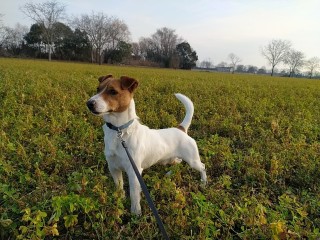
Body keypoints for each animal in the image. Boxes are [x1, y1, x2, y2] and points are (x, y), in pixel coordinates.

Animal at [87, 74, 208, 214]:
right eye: (98, 89)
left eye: (113, 91)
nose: (89, 103)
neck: (119, 131)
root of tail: (181, 129)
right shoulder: (113, 167)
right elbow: (119, 187)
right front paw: (120, 199)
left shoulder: (134, 171)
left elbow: (134, 194)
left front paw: (136, 212)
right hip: (173, 158)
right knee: (177, 163)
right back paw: (169, 174)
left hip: (192, 160)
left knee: (202, 166)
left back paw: (203, 183)